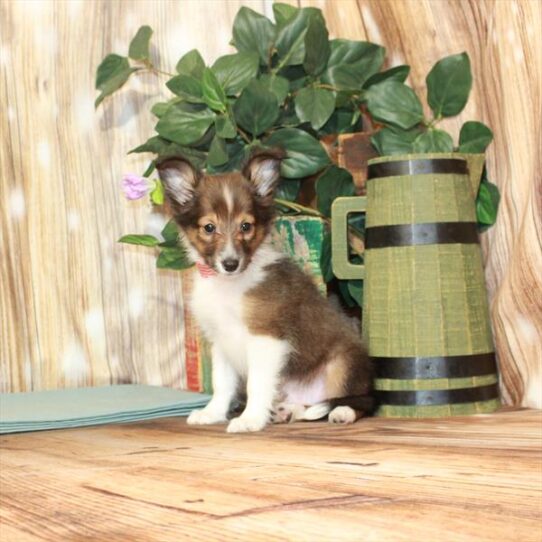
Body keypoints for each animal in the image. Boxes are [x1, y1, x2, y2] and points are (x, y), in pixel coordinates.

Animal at [157, 148, 374, 434]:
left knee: (360, 401)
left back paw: (342, 412)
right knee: (305, 406)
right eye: (209, 228)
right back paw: (285, 412)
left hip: (344, 364)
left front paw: (250, 419)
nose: (230, 263)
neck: (229, 285)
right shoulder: (220, 341)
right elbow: (221, 384)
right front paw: (213, 413)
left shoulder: (266, 337)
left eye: (246, 226)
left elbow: (256, 384)